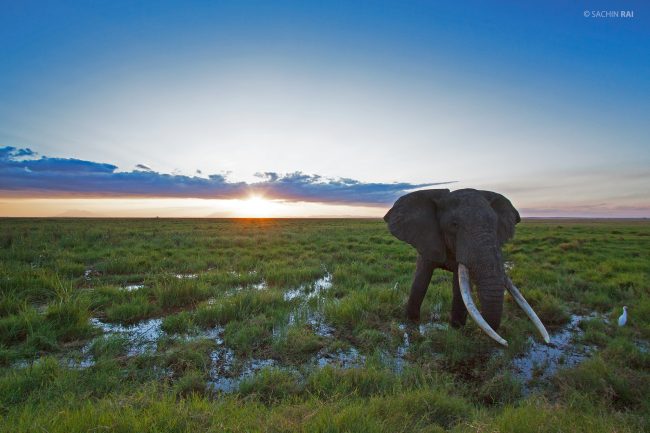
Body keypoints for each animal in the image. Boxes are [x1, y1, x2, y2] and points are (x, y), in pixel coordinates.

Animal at [384, 188, 549, 346]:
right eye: (454, 225)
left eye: (496, 225)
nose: (506, 342)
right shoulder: (427, 240)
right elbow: (421, 279)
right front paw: (411, 323)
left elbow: (459, 287)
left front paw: (456, 330)